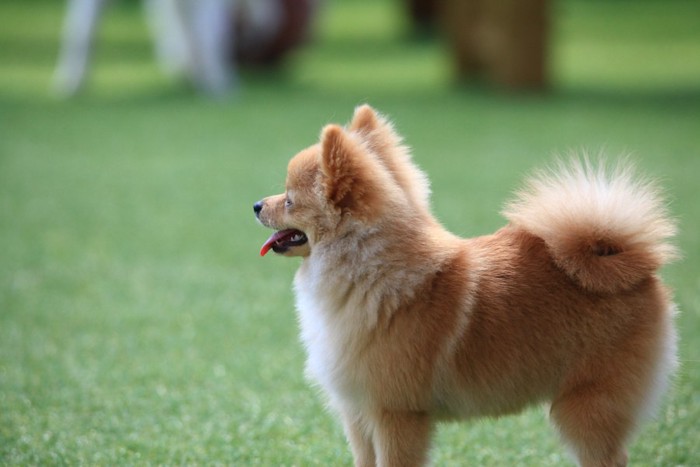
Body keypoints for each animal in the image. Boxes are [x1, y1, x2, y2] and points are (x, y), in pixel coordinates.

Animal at [256, 106, 680, 467]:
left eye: (289, 200)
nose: (257, 204)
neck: (370, 272)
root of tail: (630, 261)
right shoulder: (358, 414)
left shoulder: (396, 414)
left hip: (585, 408)